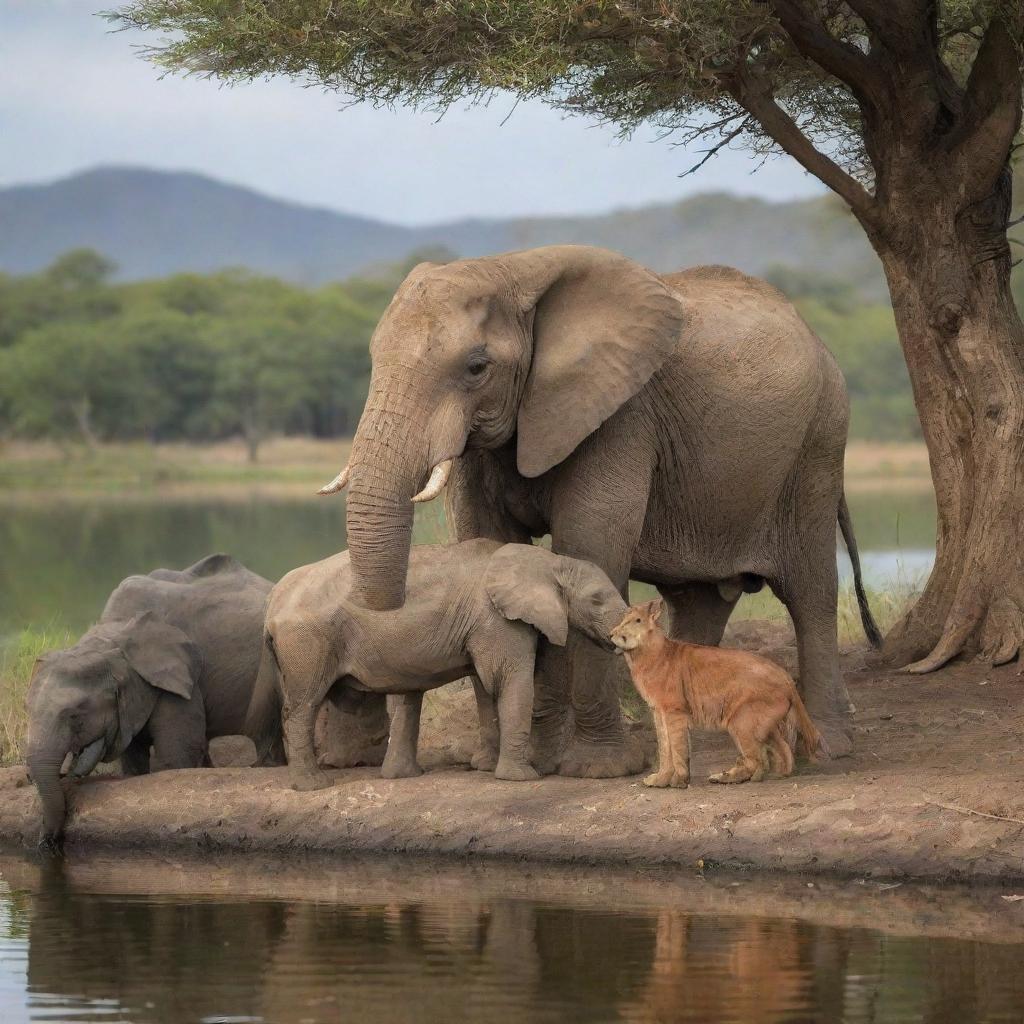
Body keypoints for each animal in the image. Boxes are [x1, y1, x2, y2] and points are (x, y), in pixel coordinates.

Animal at [25, 557, 282, 851]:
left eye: (75, 716)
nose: (47, 843)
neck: (113, 637)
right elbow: (133, 759)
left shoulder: (182, 681)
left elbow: (177, 753)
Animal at [247, 540, 626, 786]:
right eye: (597, 600)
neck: (549, 560)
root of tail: (274, 598)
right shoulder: (496, 618)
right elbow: (507, 680)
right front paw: (521, 778)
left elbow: (485, 686)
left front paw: (485, 768)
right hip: (307, 643)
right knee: (302, 707)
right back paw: (313, 784)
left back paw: (401, 776)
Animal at [325, 245, 880, 774]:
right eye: (373, 359)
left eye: (477, 367)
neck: (511, 268)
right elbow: (490, 542)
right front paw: (516, 761)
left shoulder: (621, 415)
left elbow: (591, 546)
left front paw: (595, 768)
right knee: (698, 599)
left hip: (819, 444)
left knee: (810, 590)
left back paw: (827, 747)